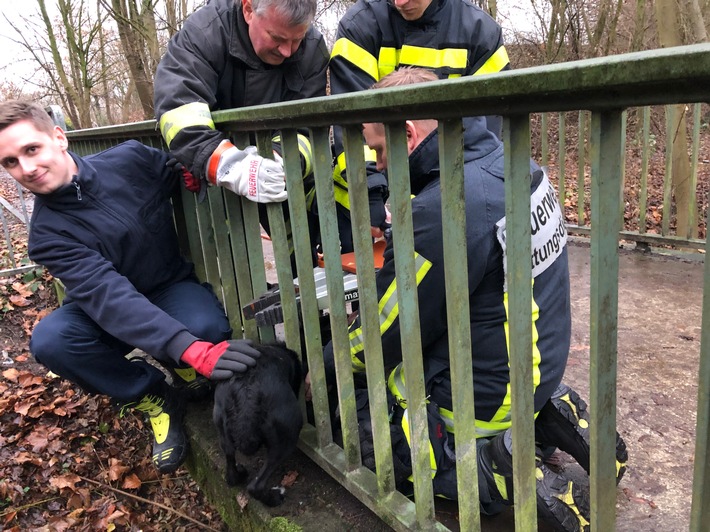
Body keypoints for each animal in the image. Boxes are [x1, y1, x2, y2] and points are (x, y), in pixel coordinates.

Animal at [210, 340, 302, 508]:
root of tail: (246, 394)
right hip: (287, 437)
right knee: (255, 486)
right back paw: (275, 498)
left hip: (221, 428)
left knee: (230, 472)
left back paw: (240, 474)